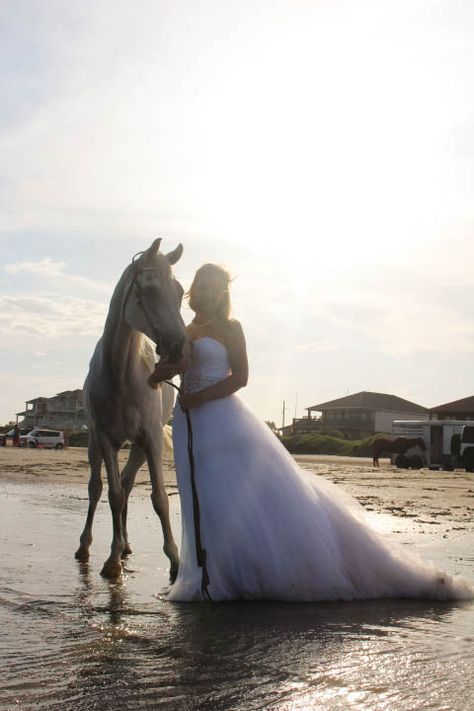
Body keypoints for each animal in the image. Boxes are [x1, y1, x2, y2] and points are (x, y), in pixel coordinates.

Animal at [75, 239, 186, 580]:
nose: (180, 348)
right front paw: (111, 563)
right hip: (94, 443)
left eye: (180, 291)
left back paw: (124, 545)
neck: (122, 373)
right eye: (148, 289)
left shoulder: (150, 439)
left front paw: (175, 560)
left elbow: (159, 498)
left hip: (137, 447)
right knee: (98, 488)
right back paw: (87, 547)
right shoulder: (106, 439)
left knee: (126, 482)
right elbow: (111, 494)